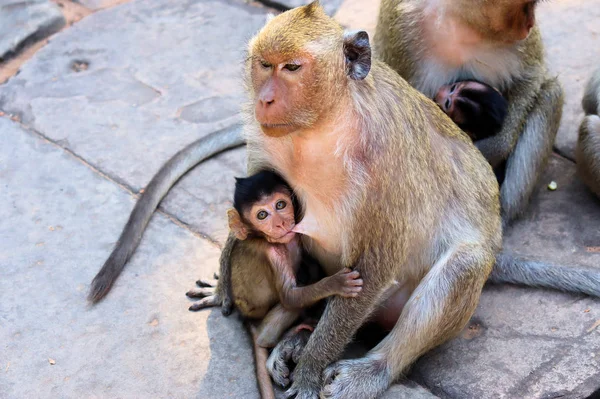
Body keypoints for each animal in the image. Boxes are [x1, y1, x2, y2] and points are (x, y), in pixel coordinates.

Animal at [372, 0, 564, 223]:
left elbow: (530, 75)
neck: (462, 22)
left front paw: (492, 149)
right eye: (527, 6)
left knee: (551, 94)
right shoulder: (398, 28)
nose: (530, 24)